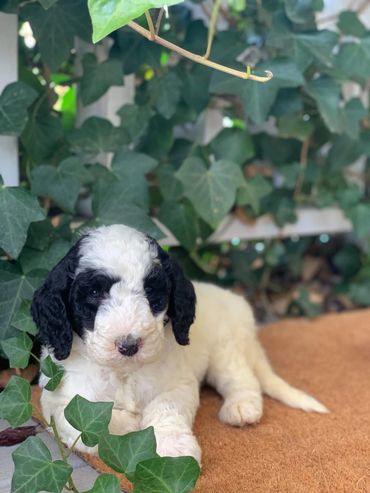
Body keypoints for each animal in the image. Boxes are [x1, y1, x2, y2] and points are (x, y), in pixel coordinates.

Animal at [31, 223, 326, 462]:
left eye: (151, 292)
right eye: (94, 292)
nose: (129, 345)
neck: (124, 372)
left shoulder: (176, 384)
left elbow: (165, 409)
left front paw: (174, 449)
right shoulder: (62, 400)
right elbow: (91, 425)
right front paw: (131, 425)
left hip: (225, 349)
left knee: (243, 379)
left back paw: (241, 407)